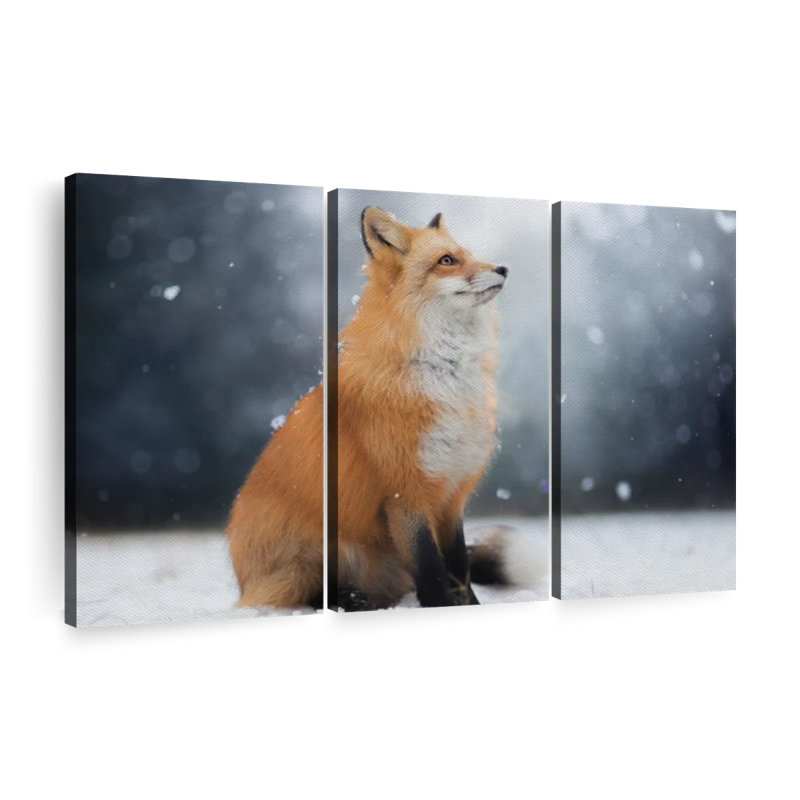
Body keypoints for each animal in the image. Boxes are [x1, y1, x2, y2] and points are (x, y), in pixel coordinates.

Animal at [227, 207, 508, 610]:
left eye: (468, 254)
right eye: (447, 261)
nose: (503, 268)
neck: (444, 373)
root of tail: (242, 582)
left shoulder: (452, 490)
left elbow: (458, 566)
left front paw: (469, 608)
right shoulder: (404, 493)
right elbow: (431, 569)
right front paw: (439, 607)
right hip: (310, 560)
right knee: (313, 595)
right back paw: (351, 601)